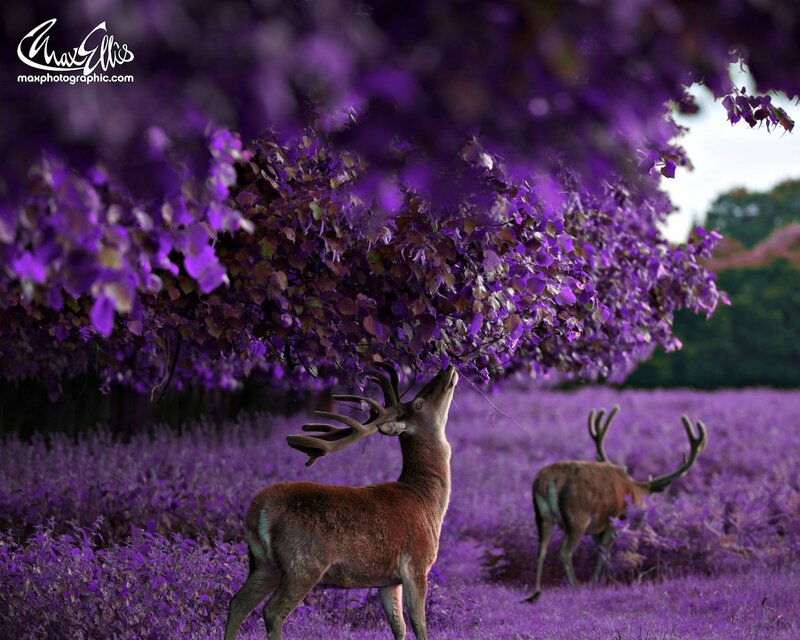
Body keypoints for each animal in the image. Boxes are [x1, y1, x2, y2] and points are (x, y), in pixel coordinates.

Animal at [224, 362, 459, 640]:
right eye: (419, 403)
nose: (448, 368)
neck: (426, 502)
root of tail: (259, 508)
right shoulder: (416, 563)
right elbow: (419, 625)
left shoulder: (389, 579)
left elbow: (398, 627)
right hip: (303, 563)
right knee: (271, 611)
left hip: (263, 564)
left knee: (237, 602)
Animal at [526, 405, 707, 603]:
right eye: (648, 505)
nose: (642, 520)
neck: (634, 491)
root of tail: (547, 481)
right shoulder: (615, 520)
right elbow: (603, 551)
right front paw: (597, 582)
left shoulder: (597, 528)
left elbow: (598, 549)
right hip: (577, 517)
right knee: (564, 551)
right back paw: (575, 586)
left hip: (541, 516)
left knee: (541, 550)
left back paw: (535, 593)